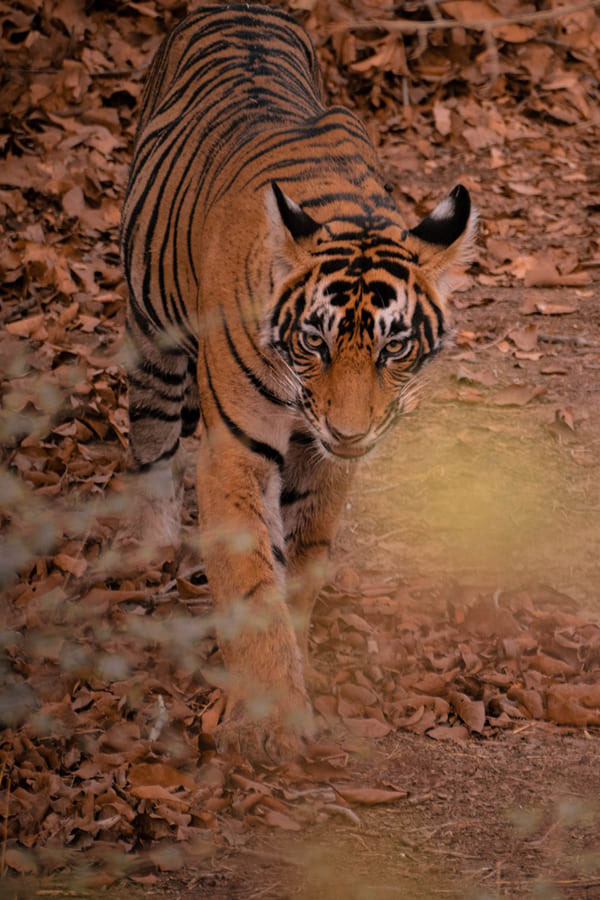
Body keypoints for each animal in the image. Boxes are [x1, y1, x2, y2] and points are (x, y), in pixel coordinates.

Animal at [120, 2, 476, 761]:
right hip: (151, 331)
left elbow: (303, 559)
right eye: (314, 342)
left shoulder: (327, 461)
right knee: (153, 442)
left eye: (394, 348)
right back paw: (151, 548)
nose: (349, 430)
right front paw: (269, 719)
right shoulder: (236, 449)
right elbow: (254, 581)